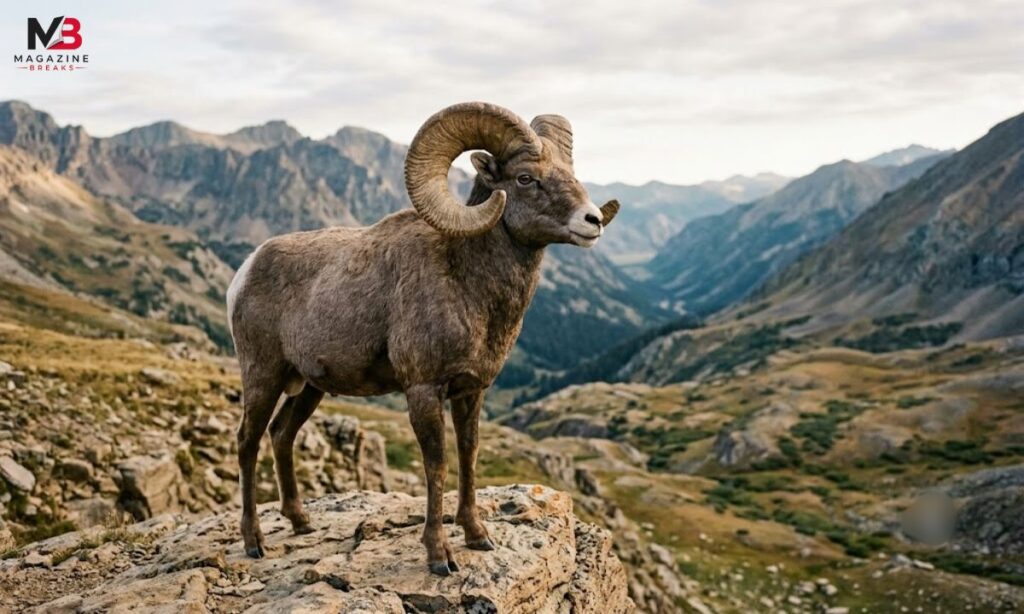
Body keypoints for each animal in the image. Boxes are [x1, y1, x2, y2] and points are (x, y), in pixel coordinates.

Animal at [227, 102, 620, 575]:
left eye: (569, 170)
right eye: (526, 178)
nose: (592, 221)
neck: (468, 284)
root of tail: (246, 271)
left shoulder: (471, 392)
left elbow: (468, 455)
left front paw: (477, 536)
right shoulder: (423, 391)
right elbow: (438, 466)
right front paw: (439, 556)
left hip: (308, 387)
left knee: (282, 434)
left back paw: (301, 522)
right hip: (263, 376)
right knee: (247, 442)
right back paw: (254, 542)